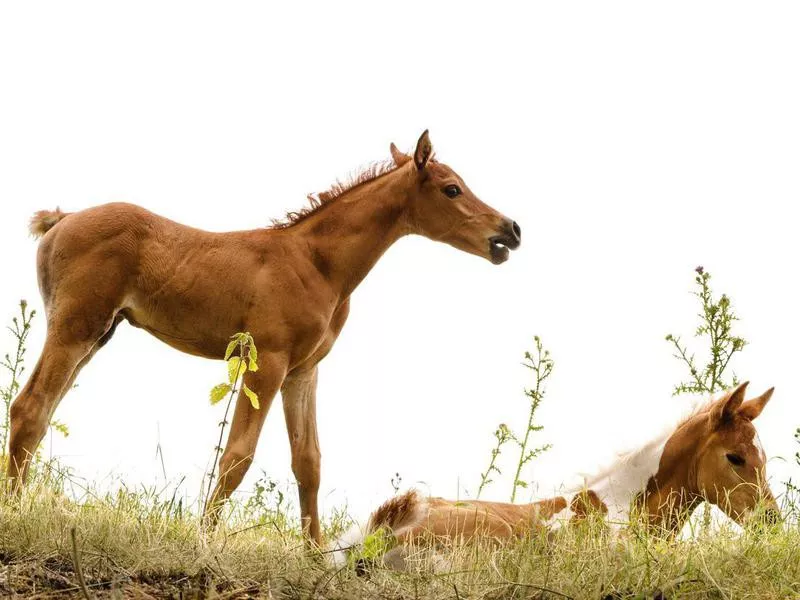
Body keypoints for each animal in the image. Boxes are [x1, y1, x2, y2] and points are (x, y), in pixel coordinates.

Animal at [9, 131, 520, 544]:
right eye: (452, 188)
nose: (510, 230)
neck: (316, 263)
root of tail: (63, 218)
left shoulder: (303, 370)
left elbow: (308, 462)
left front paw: (315, 555)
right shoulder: (267, 360)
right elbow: (237, 455)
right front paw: (204, 542)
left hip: (97, 335)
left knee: (41, 410)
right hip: (76, 326)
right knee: (30, 407)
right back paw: (13, 511)